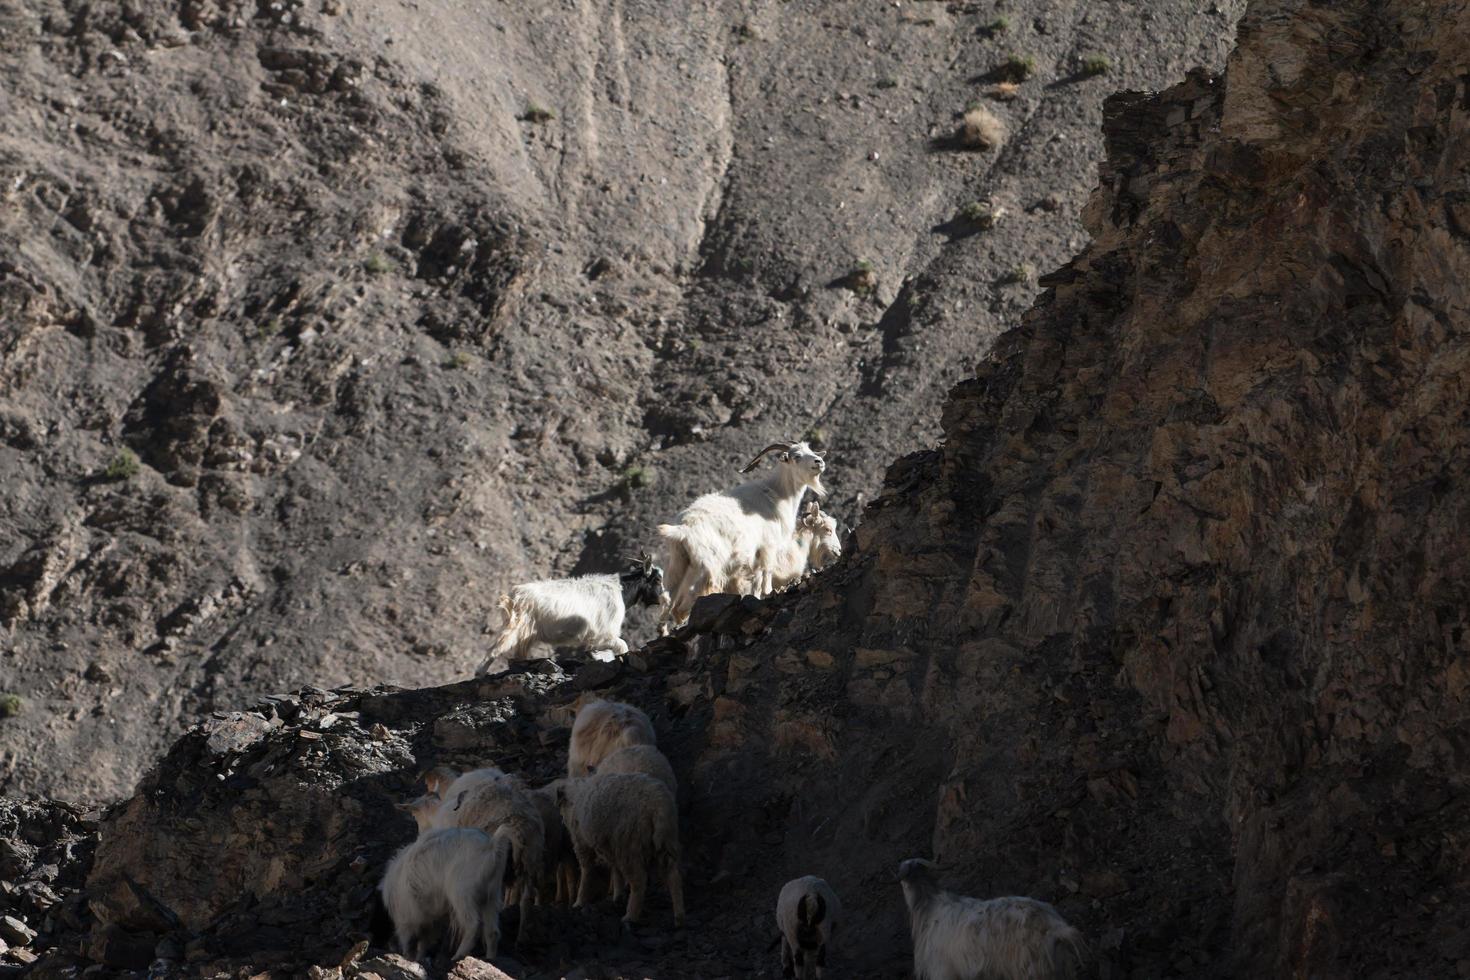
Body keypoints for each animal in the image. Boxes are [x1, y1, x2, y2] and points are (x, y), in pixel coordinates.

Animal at [379, 828, 517, 963]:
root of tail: (492, 846)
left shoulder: (408, 916)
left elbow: (410, 939)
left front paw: (409, 956)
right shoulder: (428, 918)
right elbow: (424, 940)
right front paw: (419, 958)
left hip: (461, 892)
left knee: (473, 924)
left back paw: (458, 955)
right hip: (491, 896)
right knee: (492, 932)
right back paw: (490, 957)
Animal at [476, 552, 667, 675]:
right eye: (657, 579)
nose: (664, 599)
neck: (620, 590)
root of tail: (514, 596)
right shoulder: (604, 635)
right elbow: (623, 647)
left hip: (525, 636)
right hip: (514, 627)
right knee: (494, 650)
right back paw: (480, 673)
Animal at [552, 775, 685, 928]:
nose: (562, 822)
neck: (575, 797)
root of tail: (658, 804)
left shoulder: (582, 842)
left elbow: (587, 871)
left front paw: (579, 902)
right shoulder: (610, 846)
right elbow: (616, 871)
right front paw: (617, 896)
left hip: (629, 844)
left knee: (639, 881)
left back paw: (630, 916)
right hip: (666, 840)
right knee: (674, 875)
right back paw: (679, 917)